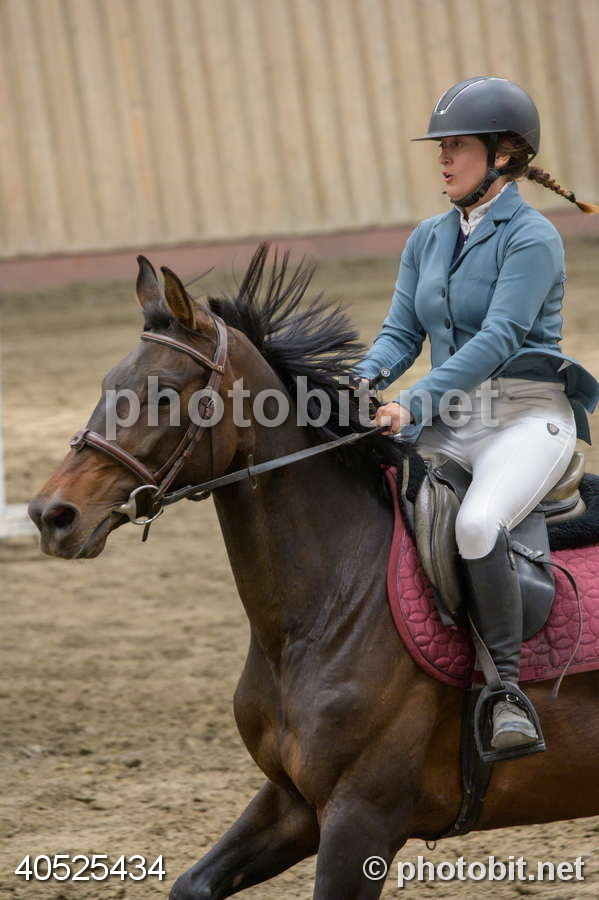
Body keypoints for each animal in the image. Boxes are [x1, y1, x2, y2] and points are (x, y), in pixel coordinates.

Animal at [29, 245, 599, 899]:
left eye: (166, 392)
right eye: (108, 385)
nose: (52, 515)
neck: (324, 609)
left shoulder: (362, 818)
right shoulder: (293, 801)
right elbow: (193, 884)